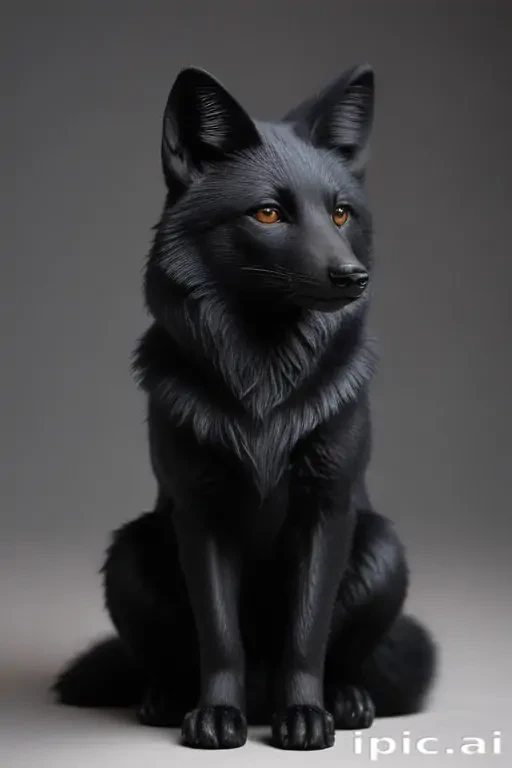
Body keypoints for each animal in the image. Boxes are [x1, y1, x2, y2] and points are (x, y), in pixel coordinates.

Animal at [52, 64, 437, 751]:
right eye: (268, 212)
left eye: (340, 212)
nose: (353, 277)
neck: (265, 374)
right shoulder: (201, 514)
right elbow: (220, 634)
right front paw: (214, 716)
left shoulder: (327, 507)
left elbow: (307, 634)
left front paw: (305, 716)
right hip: (129, 552)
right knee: (171, 656)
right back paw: (165, 699)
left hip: (384, 548)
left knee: (344, 655)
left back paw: (347, 699)